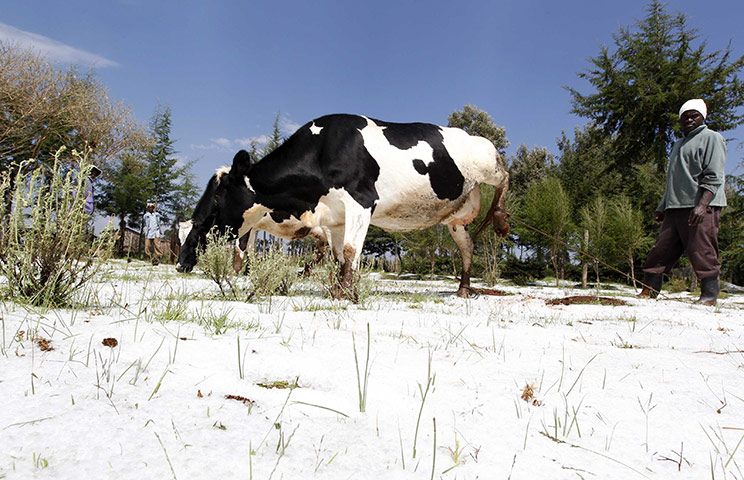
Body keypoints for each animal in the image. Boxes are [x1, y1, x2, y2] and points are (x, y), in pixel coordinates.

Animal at [176, 114, 510, 299]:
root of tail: (472, 134)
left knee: (504, 175)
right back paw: (464, 289)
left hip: (487, 164)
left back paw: (501, 218)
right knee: (467, 247)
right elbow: (338, 257)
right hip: (455, 217)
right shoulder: (334, 218)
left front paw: (348, 295)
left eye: (216, 199)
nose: (182, 263)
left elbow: (350, 251)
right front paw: (340, 290)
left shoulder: (361, 200)